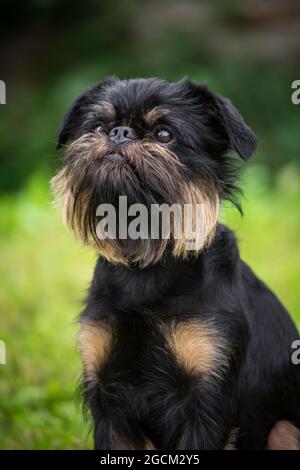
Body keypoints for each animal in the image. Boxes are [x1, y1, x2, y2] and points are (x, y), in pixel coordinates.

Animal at [51, 78, 300, 452]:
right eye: (97, 127)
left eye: (164, 134)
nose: (120, 132)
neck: (146, 266)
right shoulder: (109, 405)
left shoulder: (206, 404)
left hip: (284, 430)